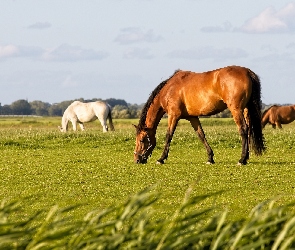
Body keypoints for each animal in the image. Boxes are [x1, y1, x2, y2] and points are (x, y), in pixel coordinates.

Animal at [134, 65, 266, 165]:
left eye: (141, 140)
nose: (137, 159)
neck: (169, 89)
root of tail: (247, 72)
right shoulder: (192, 117)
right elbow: (201, 135)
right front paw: (210, 158)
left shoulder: (173, 115)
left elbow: (168, 135)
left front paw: (161, 159)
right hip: (246, 109)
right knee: (248, 130)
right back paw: (246, 158)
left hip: (236, 110)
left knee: (243, 130)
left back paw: (242, 159)